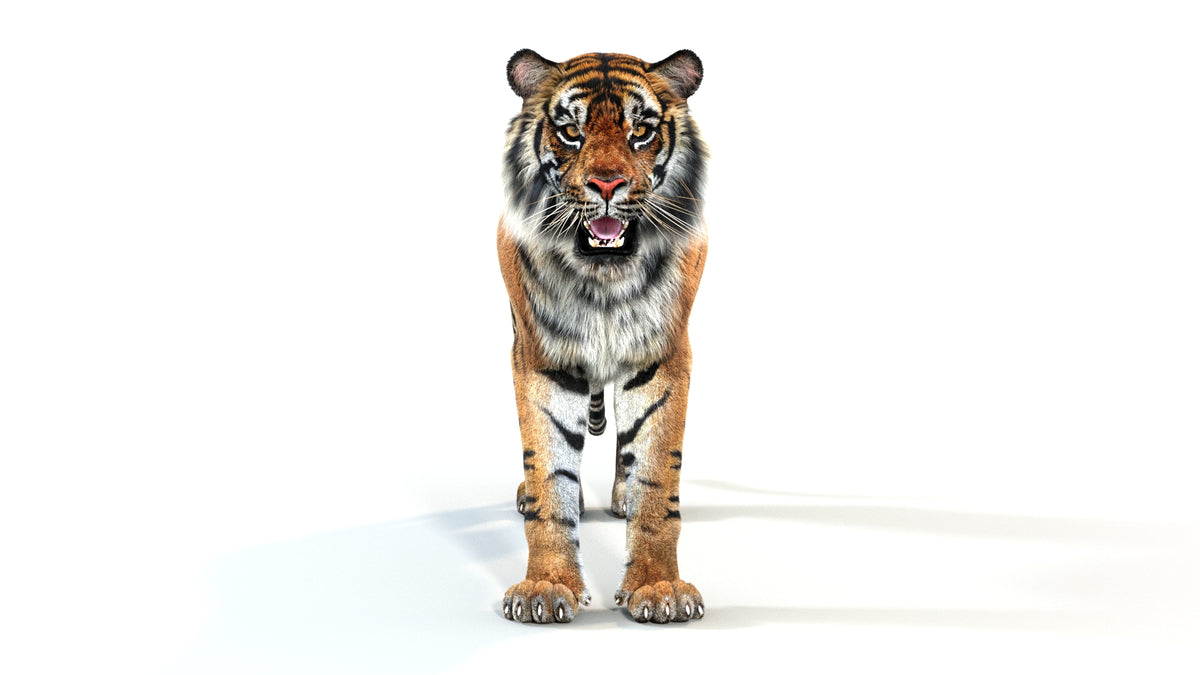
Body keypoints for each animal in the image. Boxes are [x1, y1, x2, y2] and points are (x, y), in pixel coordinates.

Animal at [496, 49, 709, 624]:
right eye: (571, 131)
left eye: (641, 132)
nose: (609, 186)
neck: (603, 282)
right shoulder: (540, 355)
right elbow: (549, 475)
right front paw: (546, 588)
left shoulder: (664, 354)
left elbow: (657, 474)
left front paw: (659, 588)